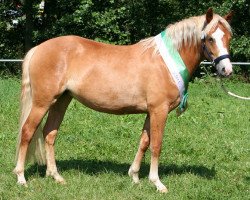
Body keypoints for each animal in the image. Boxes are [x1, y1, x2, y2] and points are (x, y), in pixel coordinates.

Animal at [13, 8, 232, 193]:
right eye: (210, 38)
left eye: (229, 37)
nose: (226, 70)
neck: (165, 62)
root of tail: (38, 49)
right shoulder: (159, 110)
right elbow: (156, 145)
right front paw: (157, 183)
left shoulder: (150, 112)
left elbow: (144, 142)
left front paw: (134, 176)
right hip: (42, 103)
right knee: (27, 131)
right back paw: (21, 178)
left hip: (61, 101)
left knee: (49, 134)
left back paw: (56, 176)